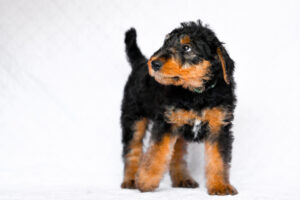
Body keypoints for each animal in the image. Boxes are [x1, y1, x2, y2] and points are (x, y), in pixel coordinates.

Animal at [119, 20, 237, 195]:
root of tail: (140, 63)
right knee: (132, 149)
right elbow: (156, 153)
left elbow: (218, 158)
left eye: (187, 47)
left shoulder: (219, 127)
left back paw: (182, 179)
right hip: (133, 117)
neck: (196, 93)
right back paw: (131, 180)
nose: (154, 63)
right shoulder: (166, 123)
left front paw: (220, 186)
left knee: (177, 154)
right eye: (165, 43)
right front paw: (145, 181)